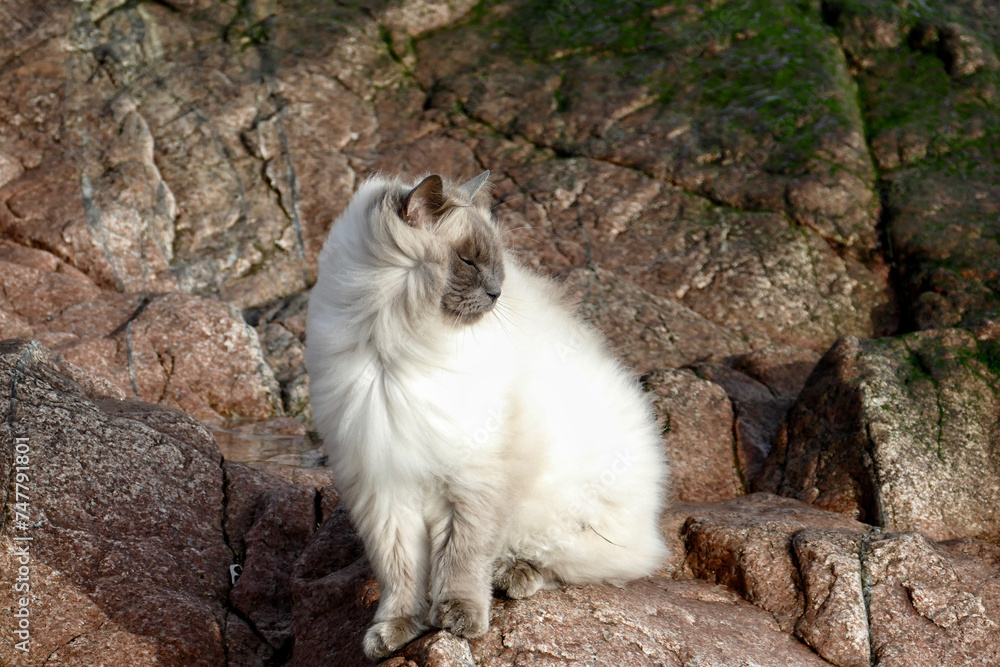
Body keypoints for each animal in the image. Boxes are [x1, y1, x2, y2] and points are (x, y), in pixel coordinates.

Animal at [300, 170, 668, 660]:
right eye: (469, 261)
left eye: (494, 265)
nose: (496, 293)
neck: (394, 348)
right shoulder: (384, 486)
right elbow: (401, 573)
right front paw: (396, 631)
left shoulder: (474, 478)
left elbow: (463, 557)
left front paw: (459, 619)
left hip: (567, 513)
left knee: (572, 564)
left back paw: (512, 576)